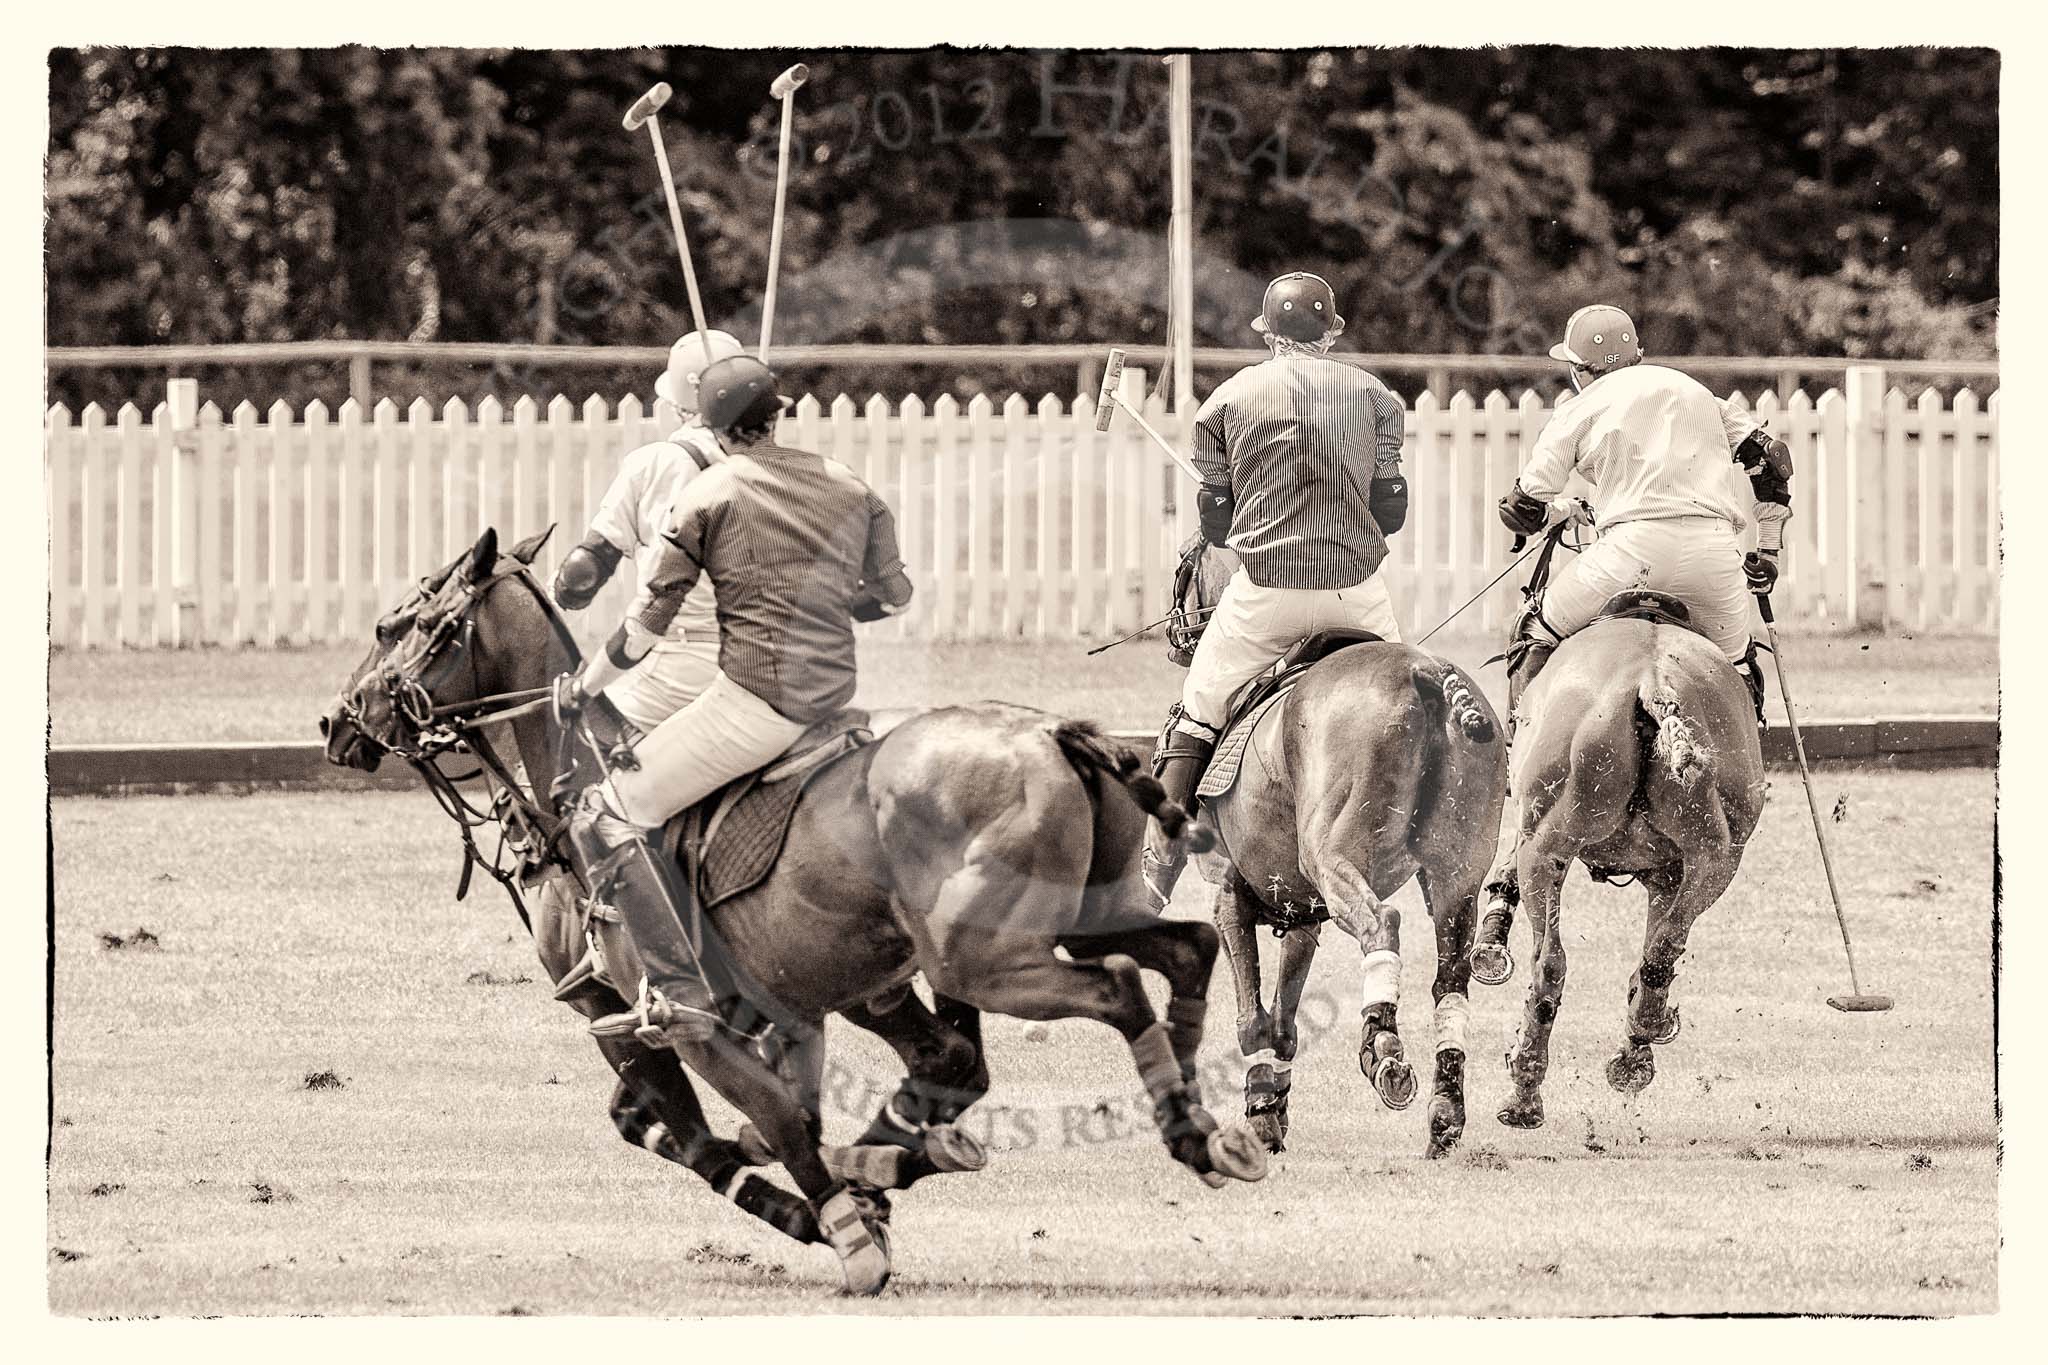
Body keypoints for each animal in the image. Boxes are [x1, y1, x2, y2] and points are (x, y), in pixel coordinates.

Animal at [319, 527, 1261, 1301]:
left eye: (398, 625)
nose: (337, 721)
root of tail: (1053, 736)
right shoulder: (769, 1006)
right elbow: (754, 1117)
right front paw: (865, 1188)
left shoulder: (660, 1015)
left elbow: (750, 1127)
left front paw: (846, 1231)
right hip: (1062, 920)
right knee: (1184, 947)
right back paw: (1199, 1123)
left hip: (979, 954)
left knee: (1113, 987)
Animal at [1179, 540, 1515, 1162]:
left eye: (1185, 565)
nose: (1175, 634)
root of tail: (1425, 672)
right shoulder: (1300, 913)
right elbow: (1283, 1022)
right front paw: (1272, 1106)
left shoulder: (1227, 892)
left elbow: (1252, 1019)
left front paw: (1260, 1113)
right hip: (1456, 875)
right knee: (1451, 978)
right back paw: (1445, 1112)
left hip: (1335, 857)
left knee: (1382, 922)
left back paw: (1383, 1049)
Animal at [1466, 577, 1769, 1129]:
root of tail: (1653, 689)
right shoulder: (1667, 875)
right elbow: (1656, 944)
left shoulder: (1532, 830)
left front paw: (1490, 945)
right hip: (1716, 857)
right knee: (1662, 951)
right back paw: (1635, 1051)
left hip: (1548, 843)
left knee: (1550, 961)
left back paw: (1525, 1090)